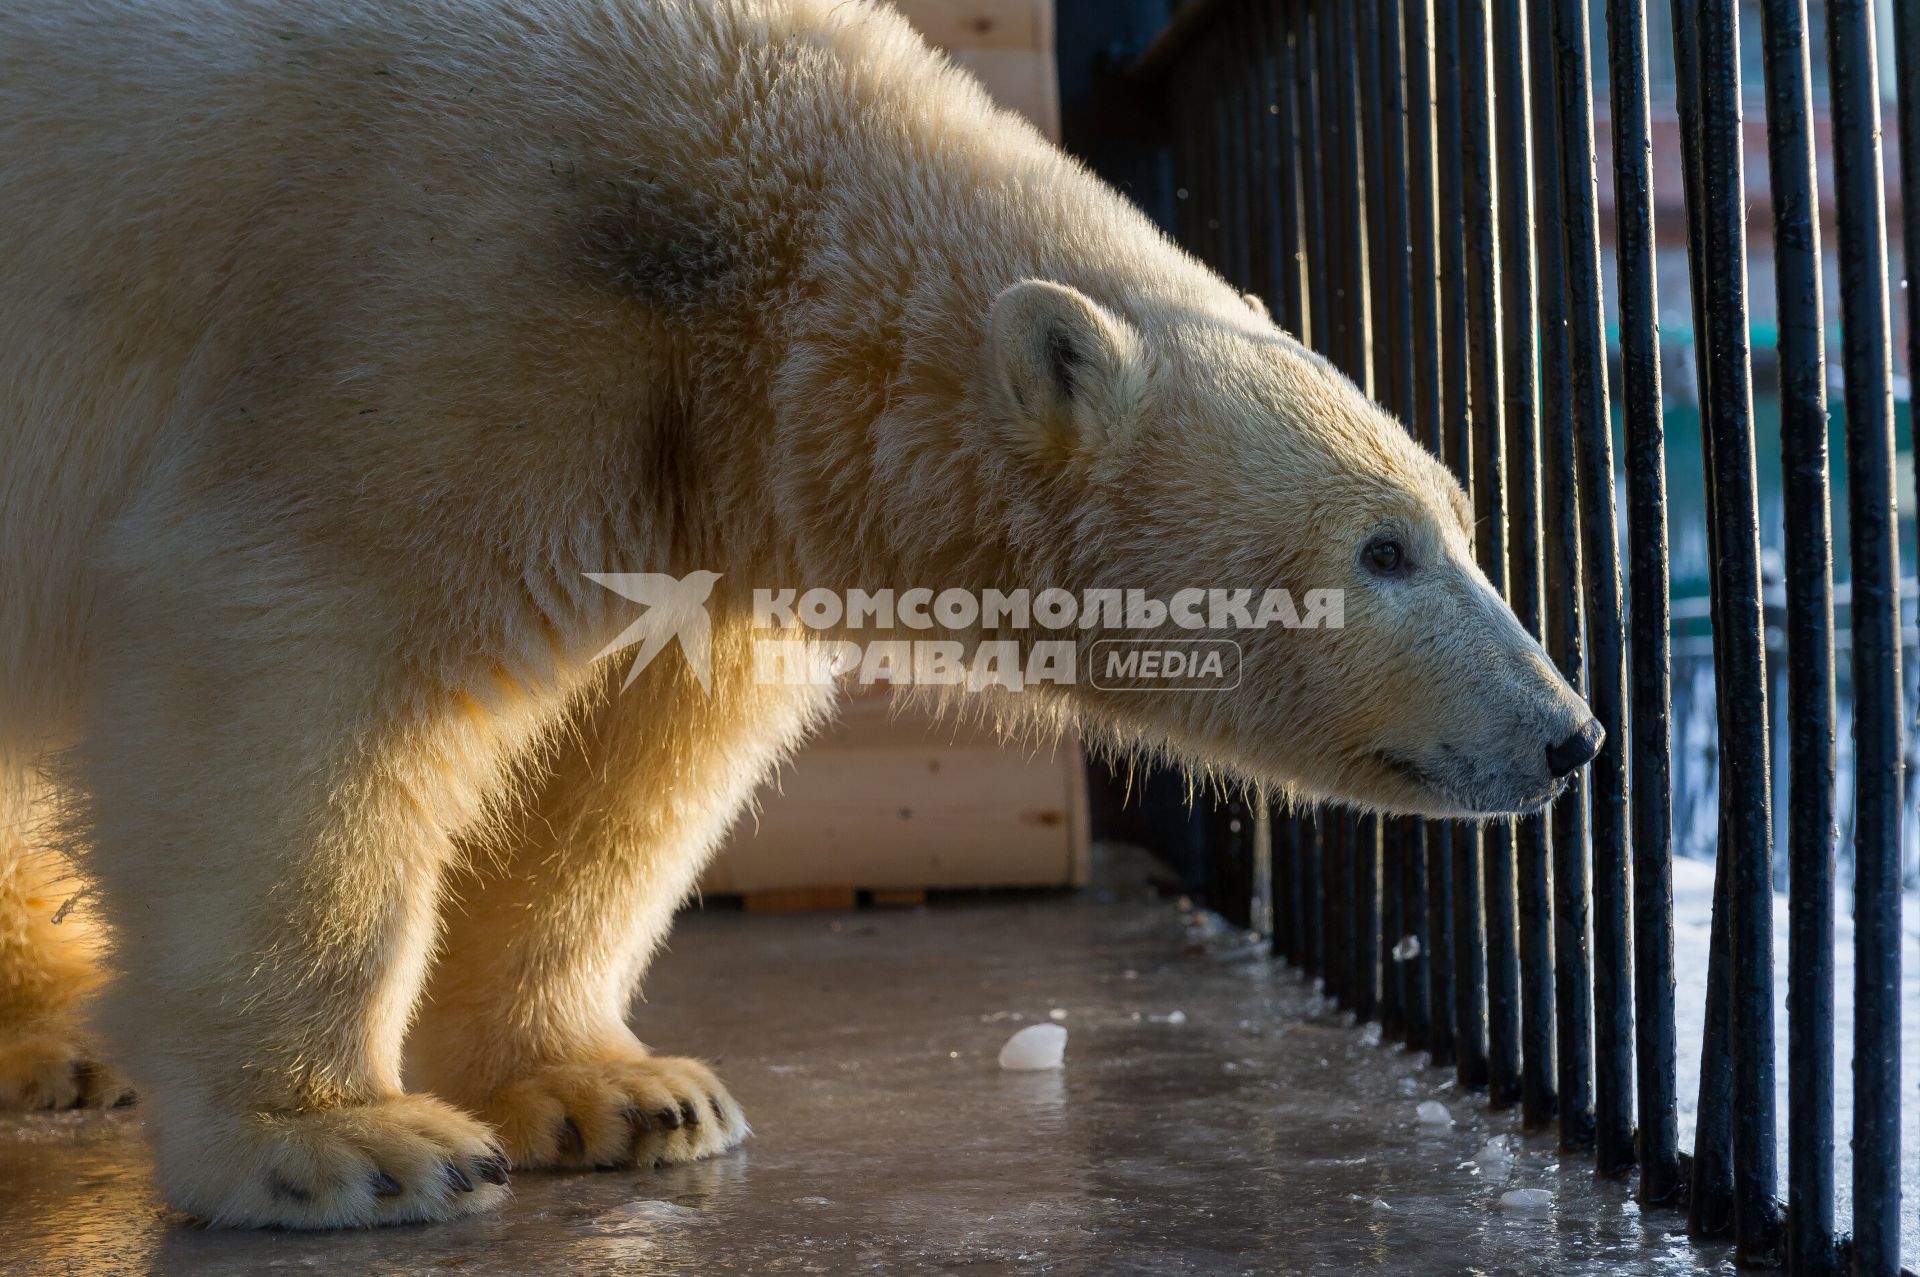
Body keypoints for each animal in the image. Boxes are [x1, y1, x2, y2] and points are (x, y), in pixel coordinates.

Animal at [0, 0, 1597, 1228]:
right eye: (1383, 548)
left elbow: (622, 768)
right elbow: (299, 653)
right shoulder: (441, 303)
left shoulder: (688, 485)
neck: (731, 239)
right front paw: (347, 1141)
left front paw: (622, 1090)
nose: (1568, 733)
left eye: (1461, 521)